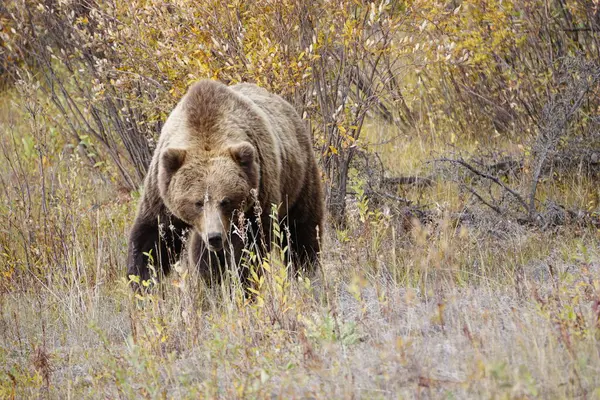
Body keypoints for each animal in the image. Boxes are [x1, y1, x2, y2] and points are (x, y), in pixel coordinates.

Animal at [126, 79, 324, 286]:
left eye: (226, 201)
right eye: (197, 202)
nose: (214, 237)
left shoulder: (257, 192)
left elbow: (250, 246)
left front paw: (243, 281)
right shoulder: (161, 189)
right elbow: (153, 236)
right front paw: (143, 281)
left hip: (298, 177)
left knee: (300, 228)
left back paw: (305, 269)